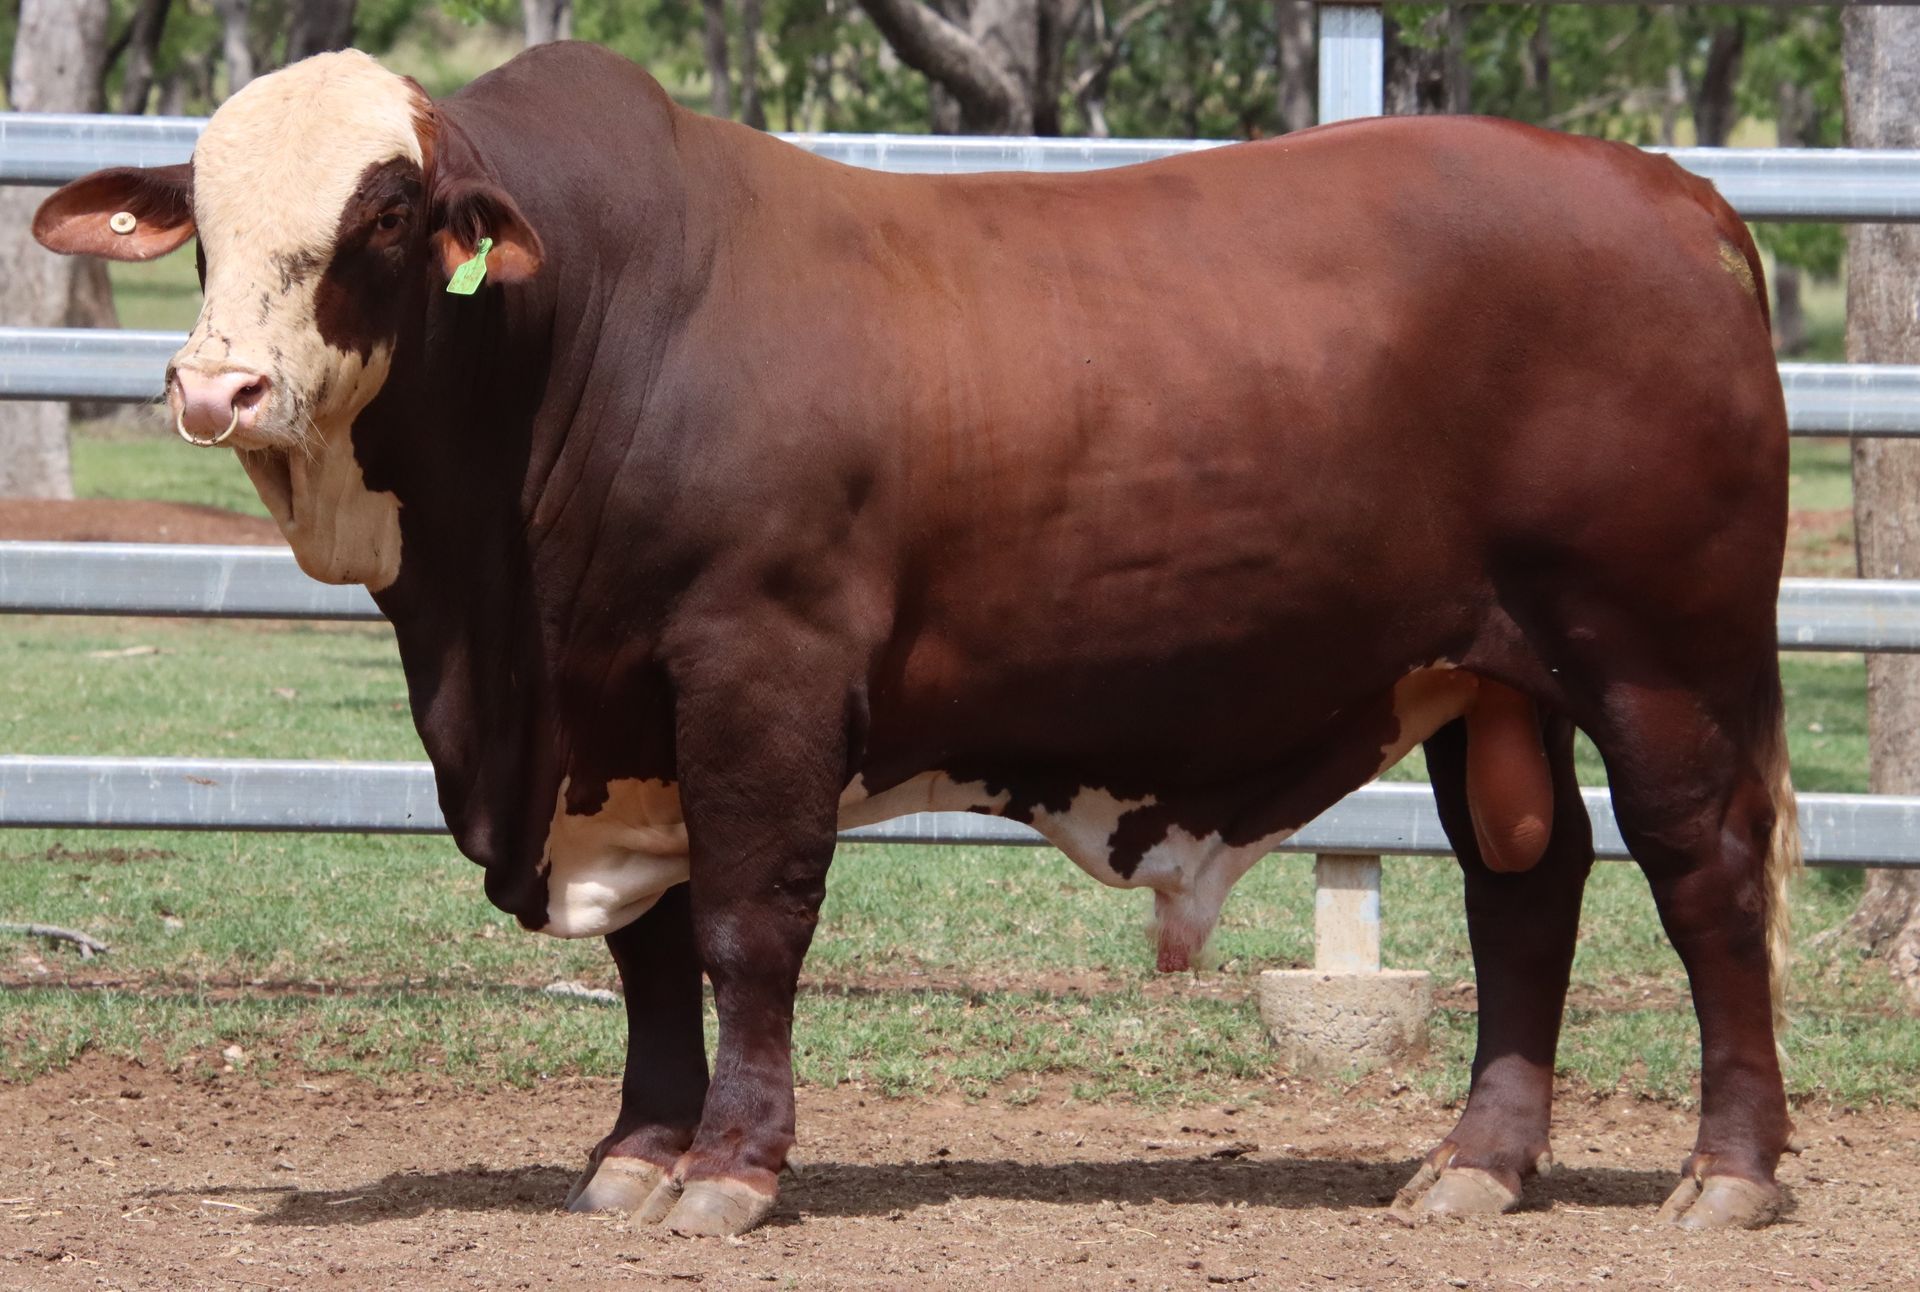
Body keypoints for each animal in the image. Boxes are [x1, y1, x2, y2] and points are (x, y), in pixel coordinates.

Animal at [34, 43, 1799, 1236]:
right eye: (201, 218)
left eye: (389, 213)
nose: (216, 386)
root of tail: (1675, 192)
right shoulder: (616, 725)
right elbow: (649, 951)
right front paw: (634, 1155)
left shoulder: (758, 671)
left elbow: (747, 927)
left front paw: (733, 1171)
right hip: (1492, 677)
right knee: (1526, 887)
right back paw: (1476, 1166)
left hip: (1661, 654)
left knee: (1702, 874)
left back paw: (1727, 1176)